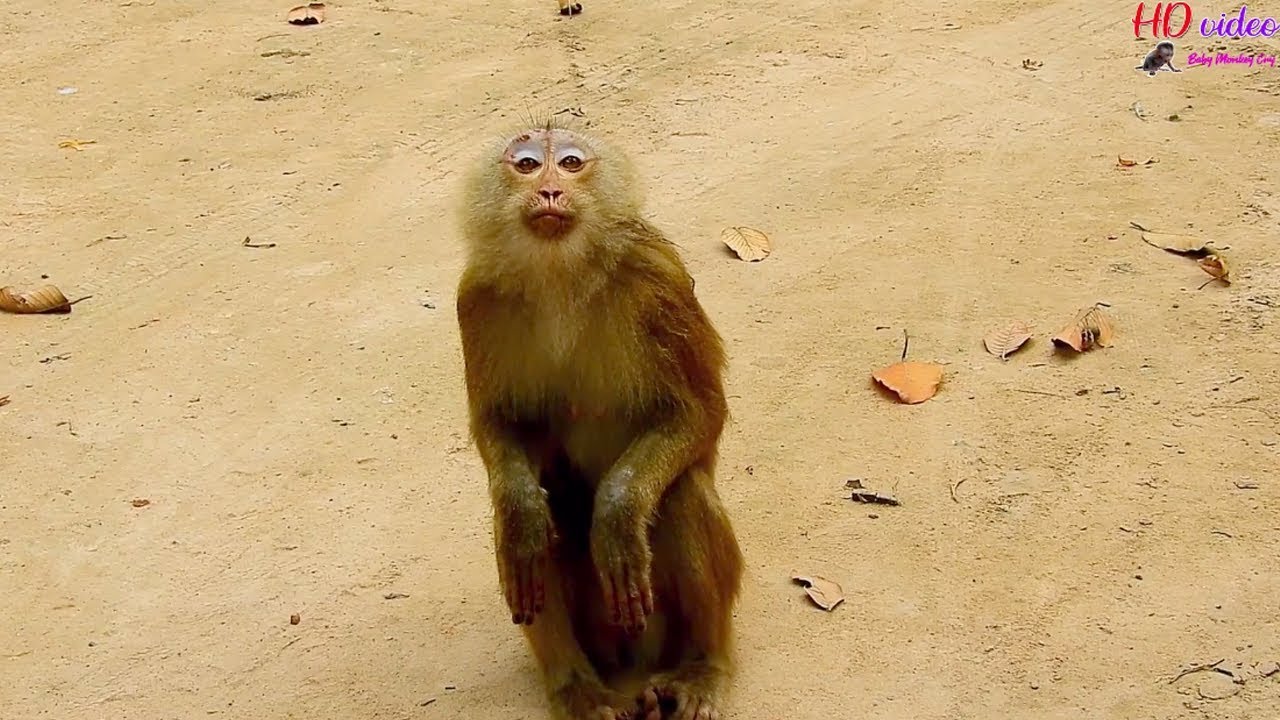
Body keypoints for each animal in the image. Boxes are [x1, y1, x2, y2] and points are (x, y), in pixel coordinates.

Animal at [455, 118, 743, 720]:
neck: (560, 270)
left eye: (569, 163)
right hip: (600, 633)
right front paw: (522, 509)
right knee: (531, 529)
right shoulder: (476, 297)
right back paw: (578, 688)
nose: (549, 191)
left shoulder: (657, 276)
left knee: (682, 494)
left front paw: (616, 512)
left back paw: (703, 667)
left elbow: (700, 412)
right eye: (525, 164)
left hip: (658, 622)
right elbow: (499, 427)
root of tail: (635, 655)